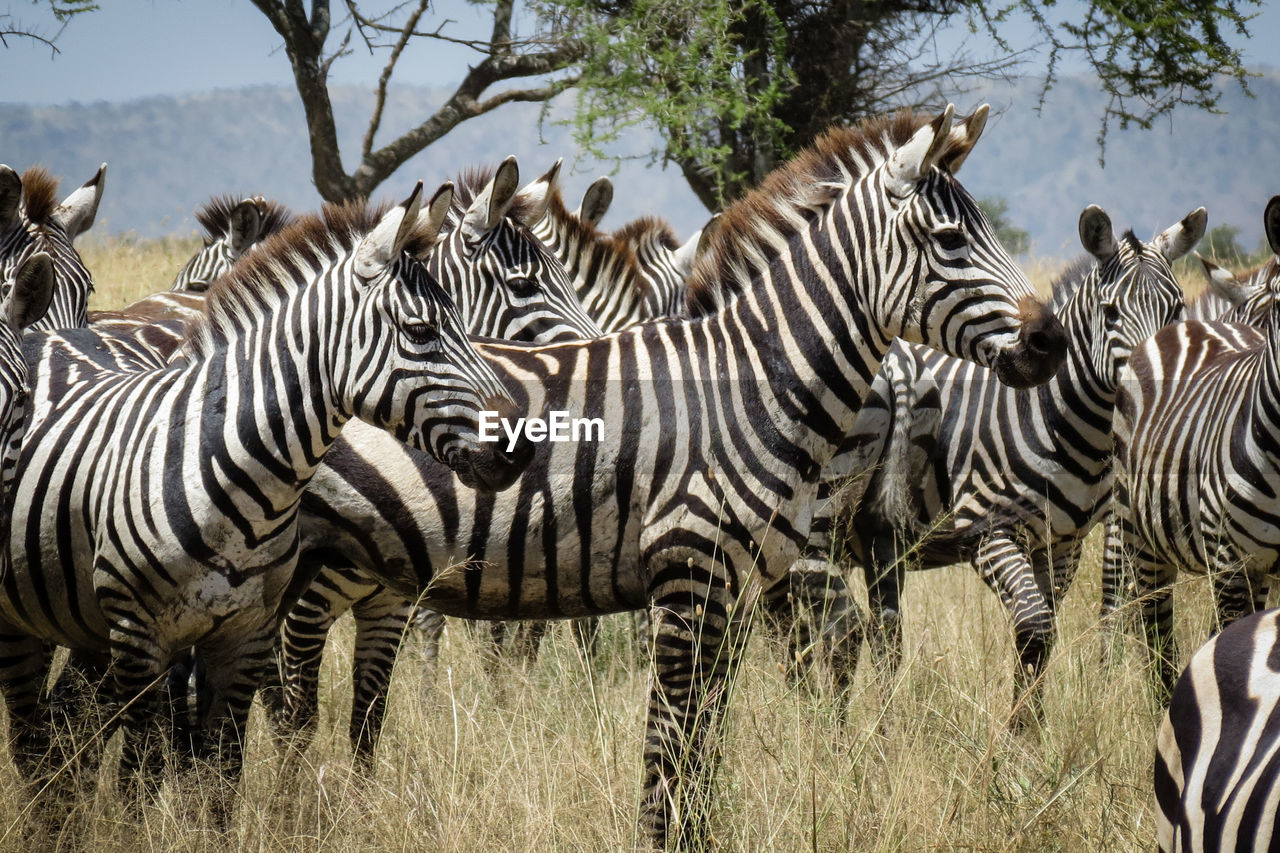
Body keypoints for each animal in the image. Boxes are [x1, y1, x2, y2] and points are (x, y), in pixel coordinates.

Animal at [282, 106, 1070, 845]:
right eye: (951, 241)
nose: (1050, 340)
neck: (744, 388)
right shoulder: (687, 578)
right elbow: (669, 742)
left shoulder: (738, 593)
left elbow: (706, 746)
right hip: (309, 570)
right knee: (294, 695)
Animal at [814, 202, 1203, 722]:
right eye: (1110, 312)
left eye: (1177, 308)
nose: (1157, 386)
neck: (1049, 416)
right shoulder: (988, 530)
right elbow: (1034, 626)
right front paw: (1018, 732)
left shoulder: (1062, 542)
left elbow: (1046, 630)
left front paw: (1031, 726)